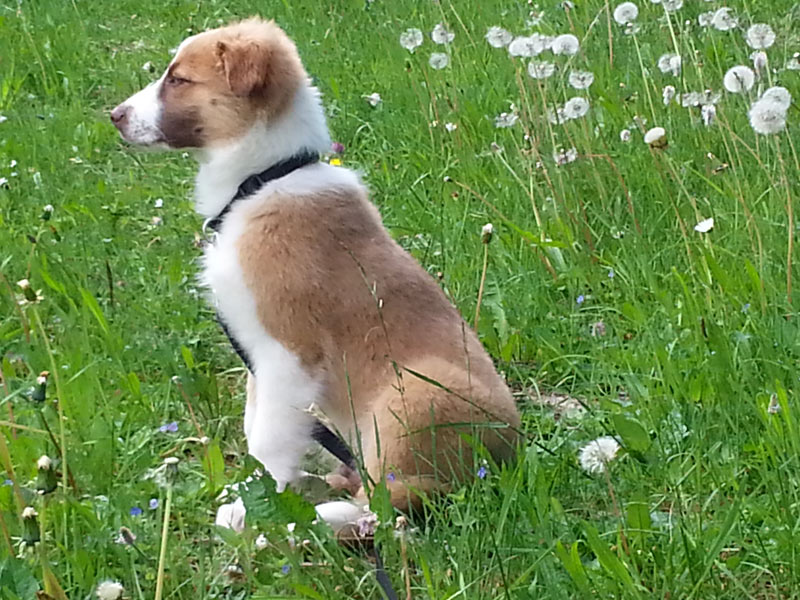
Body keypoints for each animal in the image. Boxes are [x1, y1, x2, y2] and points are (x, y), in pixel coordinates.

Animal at [111, 15, 520, 528]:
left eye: (179, 79)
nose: (114, 115)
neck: (261, 180)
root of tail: (507, 460)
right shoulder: (257, 351)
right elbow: (257, 421)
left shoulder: (290, 351)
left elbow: (268, 440)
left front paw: (256, 505)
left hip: (413, 395)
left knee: (392, 503)